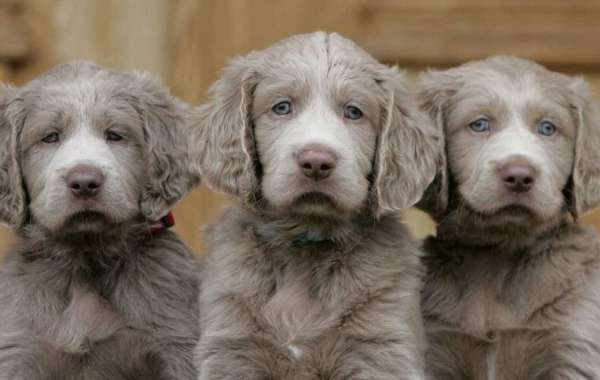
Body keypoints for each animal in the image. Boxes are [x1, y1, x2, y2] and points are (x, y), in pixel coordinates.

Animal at [0, 63, 202, 380]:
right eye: (50, 137)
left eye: (116, 135)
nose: (84, 182)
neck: (86, 261)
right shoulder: (17, 347)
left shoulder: (177, 345)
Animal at [192, 32, 440, 380]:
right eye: (282, 107)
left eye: (354, 112)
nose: (317, 161)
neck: (306, 242)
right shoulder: (231, 346)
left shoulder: (381, 346)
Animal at [420, 55, 600, 378]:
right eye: (479, 125)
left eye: (547, 128)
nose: (519, 176)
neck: (499, 254)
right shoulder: (435, 346)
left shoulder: (574, 346)